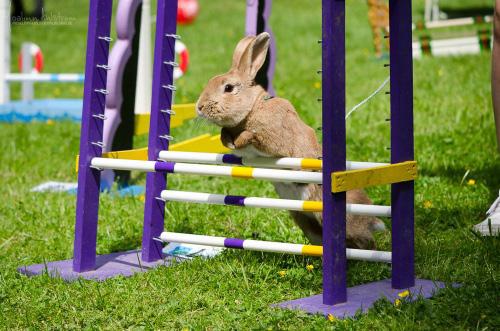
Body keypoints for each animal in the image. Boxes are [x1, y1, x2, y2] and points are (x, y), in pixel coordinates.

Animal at [193, 33, 384, 249]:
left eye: (228, 88)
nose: (199, 107)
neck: (254, 107)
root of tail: (372, 219)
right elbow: (226, 135)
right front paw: (228, 140)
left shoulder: (272, 138)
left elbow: (253, 136)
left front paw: (239, 139)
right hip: (306, 222)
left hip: (348, 224)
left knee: (367, 242)